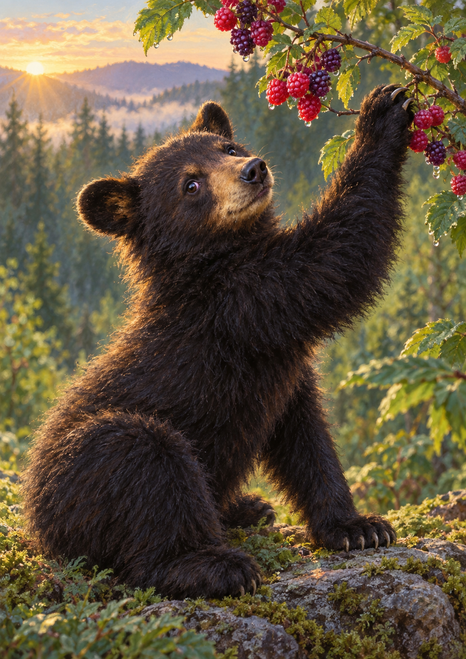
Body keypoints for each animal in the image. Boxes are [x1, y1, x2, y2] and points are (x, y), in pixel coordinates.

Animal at [23, 84, 413, 600]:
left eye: (227, 148)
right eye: (191, 185)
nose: (254, 169)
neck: (214, 257)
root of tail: (37, 528)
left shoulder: (280, 371)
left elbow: (306, 439)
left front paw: (357, 527)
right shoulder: (239, 304)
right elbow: (331, 260)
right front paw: (382, 116)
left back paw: (246, 507)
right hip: (86, 475)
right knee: (146, 461)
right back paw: (212, 564)